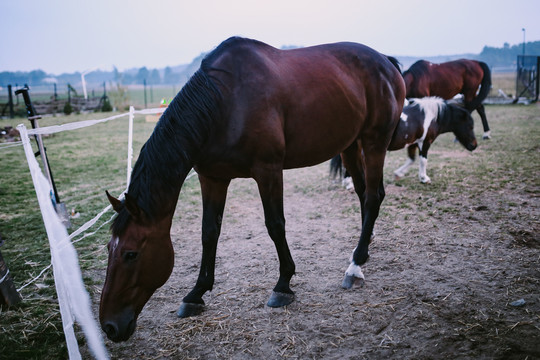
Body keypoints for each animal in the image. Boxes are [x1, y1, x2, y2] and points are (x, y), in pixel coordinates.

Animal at [100, 36, 404, 344]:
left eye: (130, 254)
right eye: (109, 249)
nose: (109, 326)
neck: (225, 103)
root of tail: (386, 61)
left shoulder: (268, 171)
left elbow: (275, 225)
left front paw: (283, 285)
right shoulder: (212, 178)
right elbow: (209, 233)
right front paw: (196, 294)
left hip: (374, 142)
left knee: (373, 196)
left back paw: (355, 266)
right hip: (351, 146)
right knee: (363, 193)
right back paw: (363, 249)